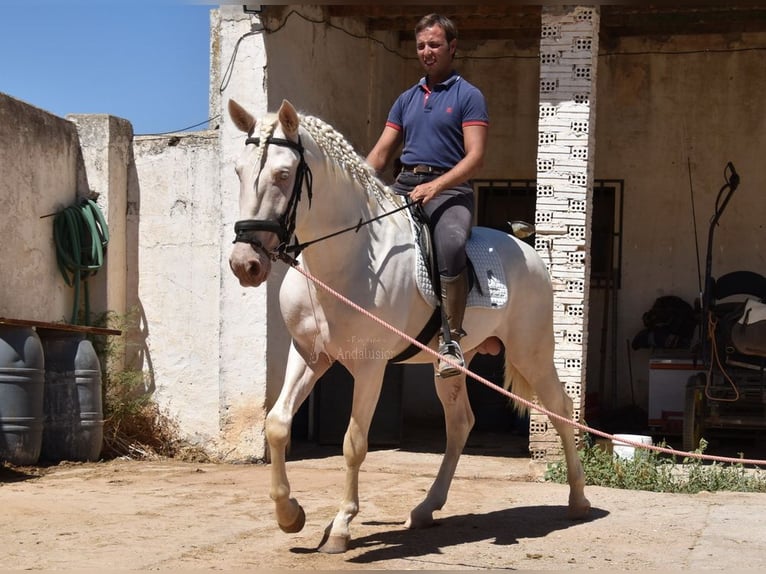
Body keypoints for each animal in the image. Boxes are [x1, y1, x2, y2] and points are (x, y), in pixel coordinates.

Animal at [228, 100, 592, 560]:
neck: (344, 259)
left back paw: (578, 500)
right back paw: (425, 509)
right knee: (460, 424)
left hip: (533, 353)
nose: (245, 265)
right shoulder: (309, 354)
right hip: (452, 366)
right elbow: (277, 424)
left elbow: (354, 442)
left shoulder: (370, 366)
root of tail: (526, 248)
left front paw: (342, 527)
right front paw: (290, 515)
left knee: (561, 409)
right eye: (238, 172)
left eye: (282, 174)